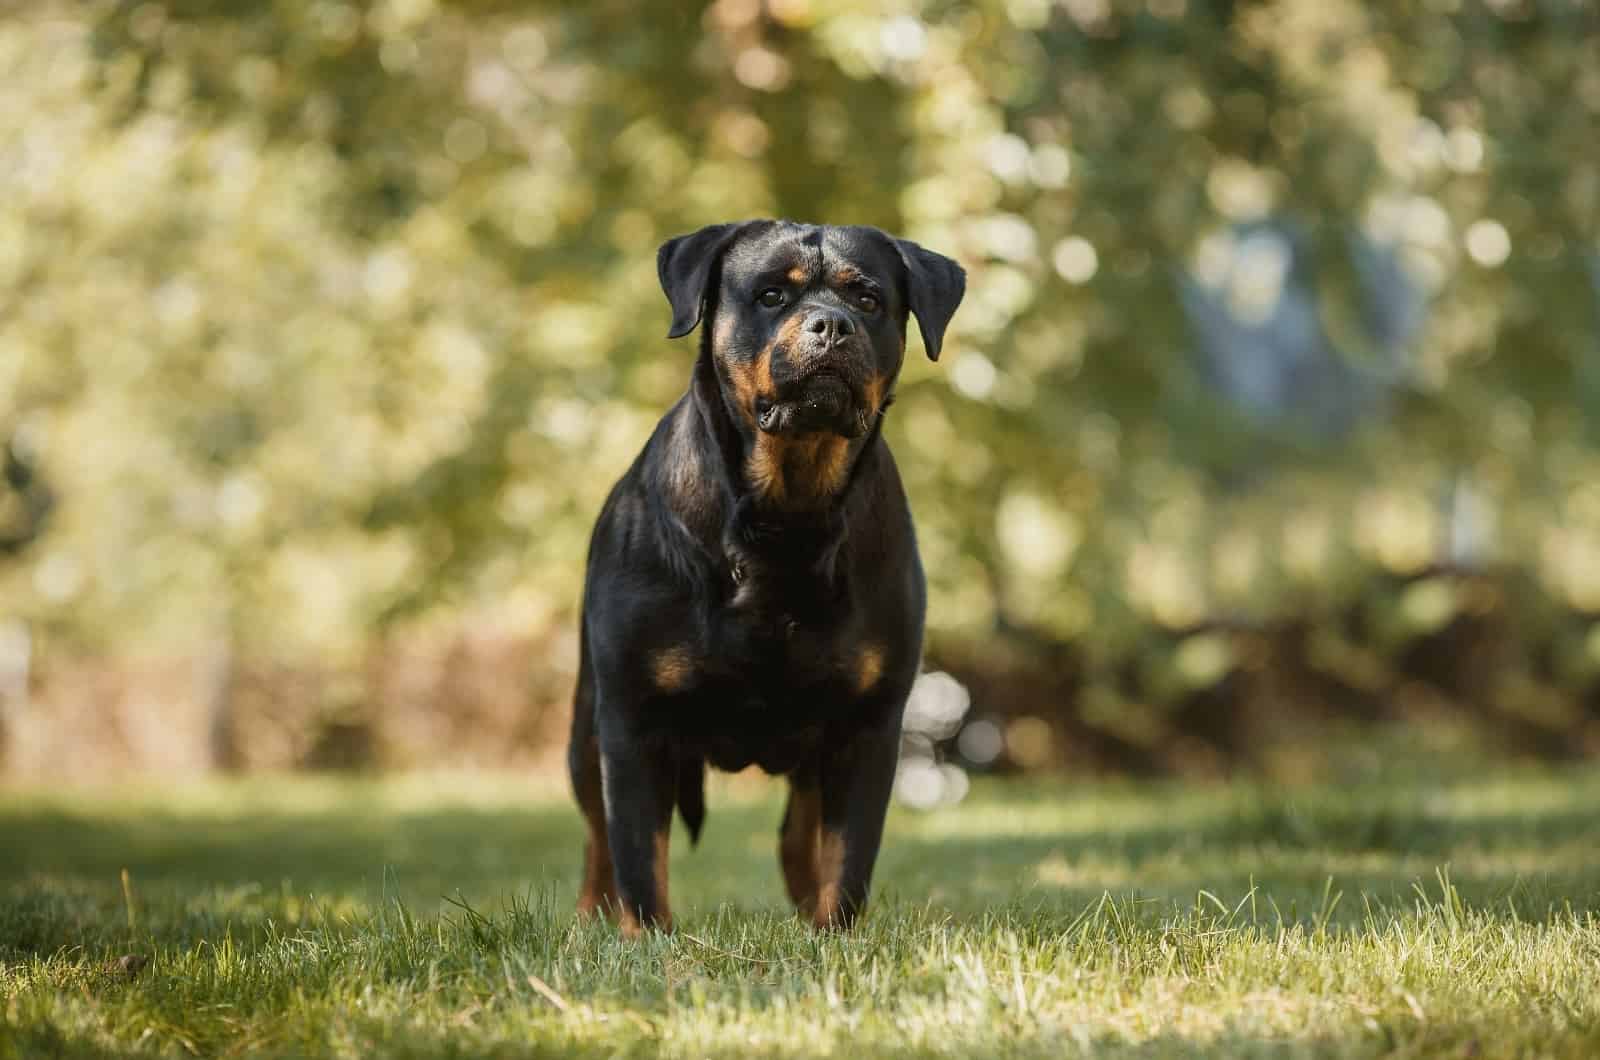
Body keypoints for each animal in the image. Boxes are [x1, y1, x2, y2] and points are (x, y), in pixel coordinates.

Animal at [572, 219, 960, 935]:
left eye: (868, 299)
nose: (831, 324)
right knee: (596, 837)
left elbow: (849, 854)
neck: (786, 514)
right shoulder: (633, 716)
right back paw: (590, 920)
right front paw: (647, 942)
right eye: (772, 295)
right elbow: (638, 853)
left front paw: (837, 935)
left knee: (797, 839)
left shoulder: (869, 722)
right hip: (586, 725)